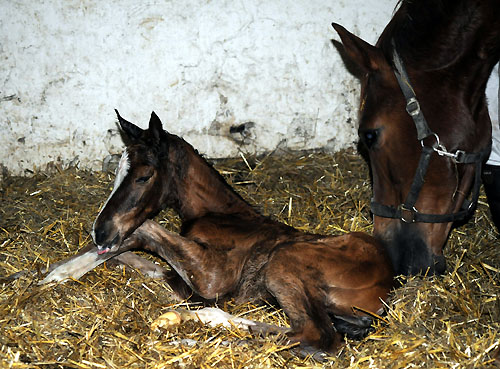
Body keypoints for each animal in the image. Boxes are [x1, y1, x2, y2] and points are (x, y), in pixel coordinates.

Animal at [42, 110, 394, 356]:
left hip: (284, 259)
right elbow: (138, 255)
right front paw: (59, 271)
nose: (100, 231)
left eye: (144, 176)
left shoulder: (212, 276)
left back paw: (185, 333)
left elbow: (144, 229)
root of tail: (385, 289)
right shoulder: (181, 281)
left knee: (315, 336)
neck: (222, 214)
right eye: (116, 174)